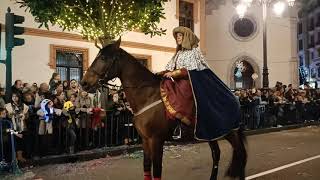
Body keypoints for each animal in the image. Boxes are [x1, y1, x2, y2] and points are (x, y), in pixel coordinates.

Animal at [80, 39, 248, 180]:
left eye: (103, 58)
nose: (84, 83)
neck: (147, 96)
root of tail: (234, 97)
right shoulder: (146, 140)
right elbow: (147, 167)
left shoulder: (156, 140)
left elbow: (157, 171)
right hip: (209, 133)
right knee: (216, 154)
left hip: (230, 132)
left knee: (240, 154)